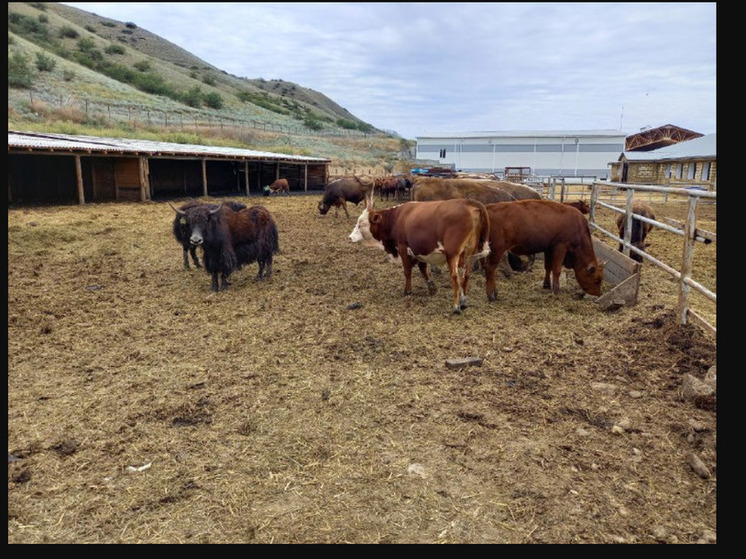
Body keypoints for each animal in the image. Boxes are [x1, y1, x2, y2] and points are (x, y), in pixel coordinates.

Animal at [348, 196, 492, 316]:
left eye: (361, 224)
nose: (349, 237)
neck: (396, 218)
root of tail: (468, 202)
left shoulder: (403, 248)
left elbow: (407, 271)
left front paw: (408, 291)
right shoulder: (419, 251)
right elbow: (423, 269)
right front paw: (432, 287)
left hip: (453, 254)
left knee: (455, 278)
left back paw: (456, 306)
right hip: (470, 253)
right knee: (465, 276)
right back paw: (463, 302)